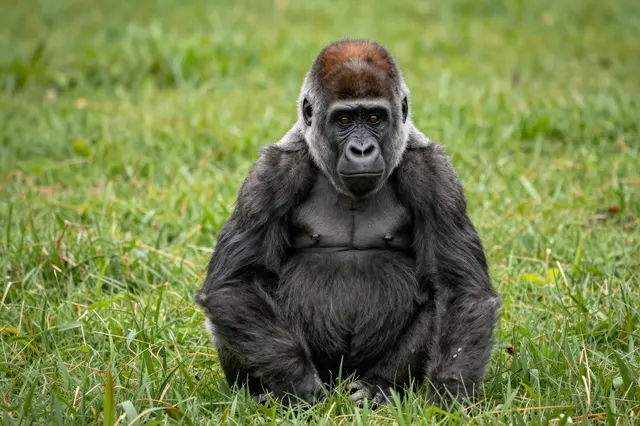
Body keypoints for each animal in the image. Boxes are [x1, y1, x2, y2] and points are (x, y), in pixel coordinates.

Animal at [194, 39, 501, 408]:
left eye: (373, 118)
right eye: (343, 120)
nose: (362, 149)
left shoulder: (435, 175)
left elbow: (458, 289)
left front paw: (447, 398)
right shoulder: (270, 175)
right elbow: (235, 284)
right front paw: (300, 385)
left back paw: (379, 385)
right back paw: (262, 395)